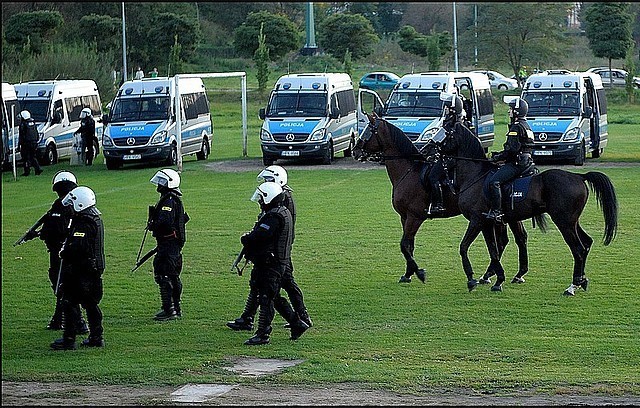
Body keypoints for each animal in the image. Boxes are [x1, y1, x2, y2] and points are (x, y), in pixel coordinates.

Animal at [352, 113, 532, 288]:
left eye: (368, 130)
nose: (355, 151)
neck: (409, 171)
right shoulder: (405, 217)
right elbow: (409, 245)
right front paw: (408, 274)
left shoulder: (415, 217)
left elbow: (404, 244)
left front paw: (419, 273)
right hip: (506, 217)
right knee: (512, 239)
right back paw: (504, 275)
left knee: (506, 241)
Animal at [442, 112, 616, 294]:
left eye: (446, 134)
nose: (432, 148)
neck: (476, 177)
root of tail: (579, 176)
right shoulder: (488, 223)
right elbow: (494, 250)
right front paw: (497, 279)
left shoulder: (478, 220)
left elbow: (465, 247)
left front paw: (474, 279)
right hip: (572, 222)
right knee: (587, 243)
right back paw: (582, 281)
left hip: (564, 223)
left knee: (578, 249)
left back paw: (572, 285)